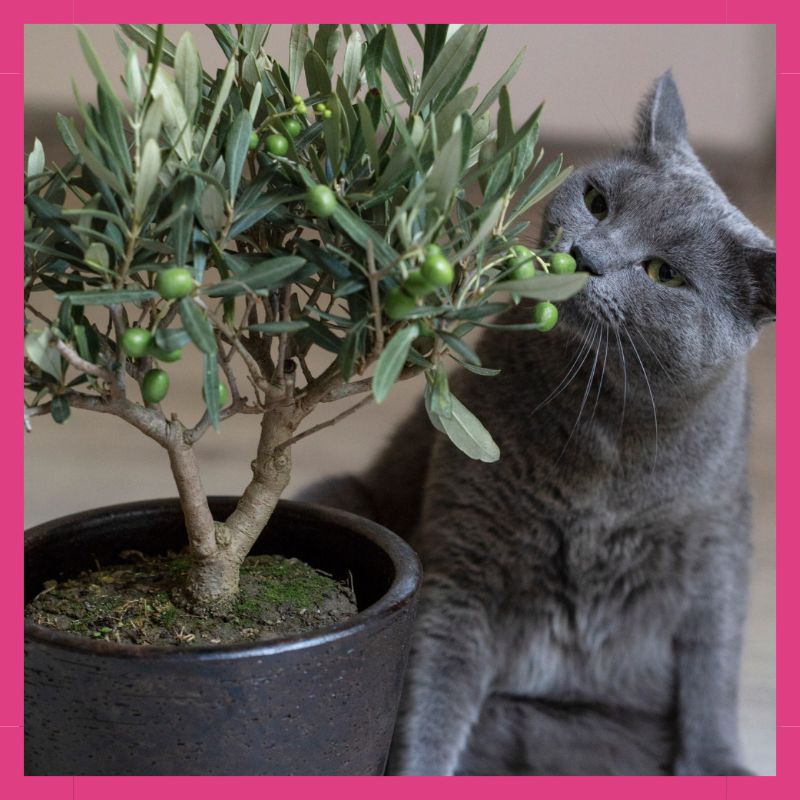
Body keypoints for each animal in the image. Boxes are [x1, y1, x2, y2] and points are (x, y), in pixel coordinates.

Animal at [300, 73, 776, 776]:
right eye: (598, 202)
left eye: (663, 273)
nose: (584, 254)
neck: (606, 427)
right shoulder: (464, 559)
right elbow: (431, 693)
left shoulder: (716, 552)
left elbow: (711, 675)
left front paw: (716, 765)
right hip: (340, 492)